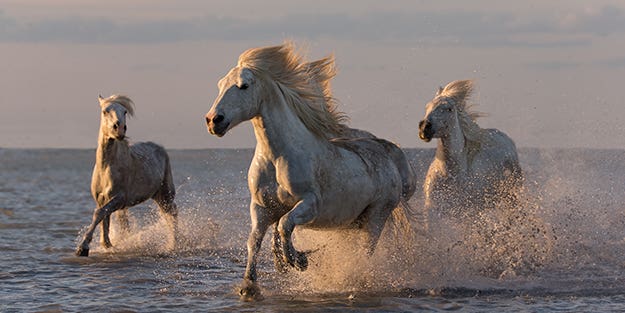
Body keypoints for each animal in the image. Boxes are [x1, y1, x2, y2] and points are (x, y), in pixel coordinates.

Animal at [76, 94, 178, 256]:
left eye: (124, 112)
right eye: (105, 111)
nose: (119, 129)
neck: (106, 167)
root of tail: (160, 148)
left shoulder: (120, 198)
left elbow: (99, 214)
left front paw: (83, 247)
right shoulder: (102, 199)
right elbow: (104, 219)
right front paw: (107, 244)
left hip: (166, 194)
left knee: (172, 214)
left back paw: (174, 245)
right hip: (157, 196)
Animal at [205, 42, 416, 298]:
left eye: (243, 85)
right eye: (220, 84)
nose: (213, 120)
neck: (277, 157)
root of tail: (391, 156)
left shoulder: (310, 204)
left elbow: (285, 224)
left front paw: (298, 261)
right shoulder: (261, 207)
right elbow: (254, 240)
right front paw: (250, 285)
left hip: (376, 216)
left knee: (366, 251)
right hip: (352, 223)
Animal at [416, 79, 524, 218]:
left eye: (449, 109)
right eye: (427, 107)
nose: (424, 128)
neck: (451, 173)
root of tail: (505, 137)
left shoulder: (469, 212)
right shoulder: (433, 210)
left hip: (511, 195)